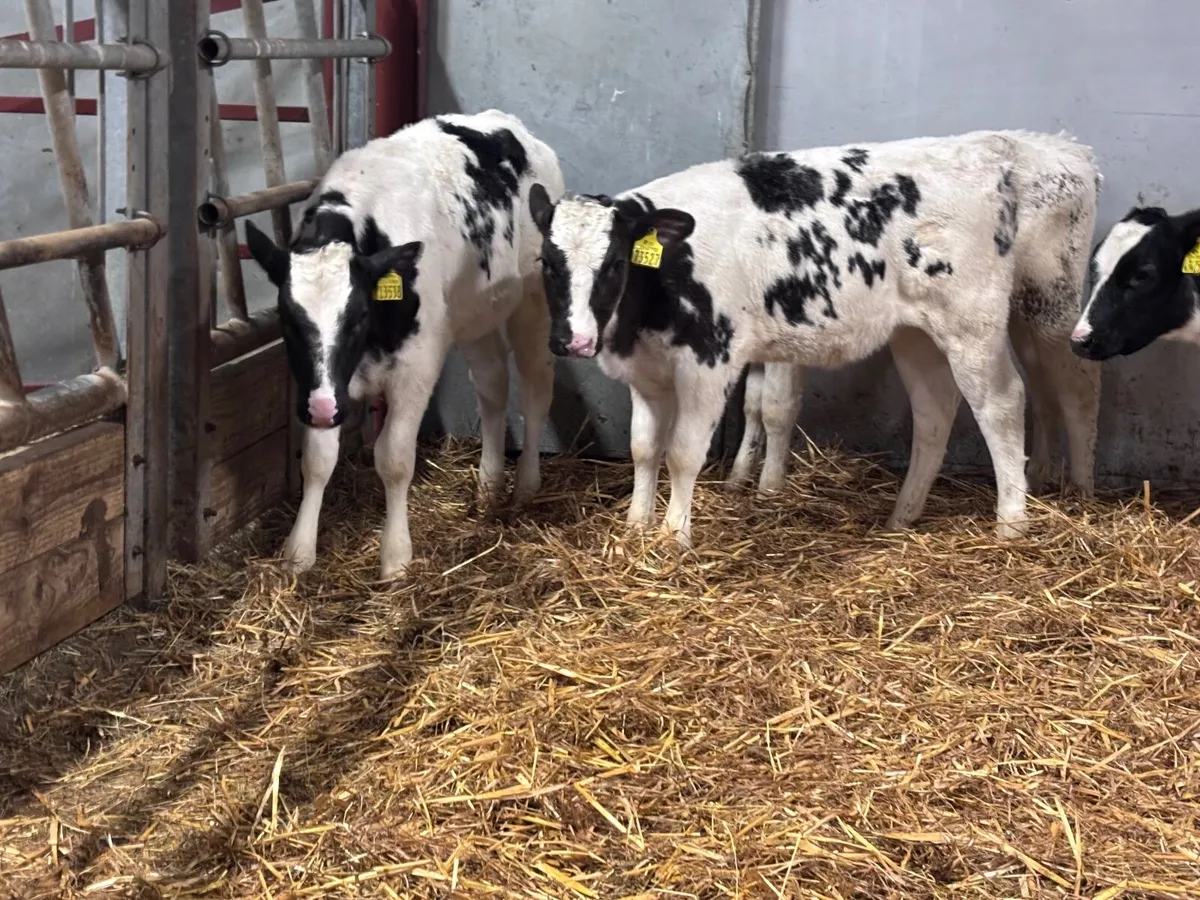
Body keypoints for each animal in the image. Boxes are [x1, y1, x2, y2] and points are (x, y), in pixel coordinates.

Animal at [245, 109, 564, 580]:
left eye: (358, 316)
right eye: (288, 318)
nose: (322, 409)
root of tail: (506, 122)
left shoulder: (417, 365)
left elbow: (394, 458)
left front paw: (395, 558)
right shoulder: (322, 383)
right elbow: (318, 458)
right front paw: (299, 552)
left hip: (533, 301)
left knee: (536, 389)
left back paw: (525, 486)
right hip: (474, 314)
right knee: (492, 386)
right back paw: (488, 485)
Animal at [528, 130, 1100, 547]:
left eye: (615, 263)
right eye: (547, 263)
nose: (572, 341)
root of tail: (997, 147)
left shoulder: (709, 363)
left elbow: (684, 453)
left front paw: (673, 538)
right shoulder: (645, 373)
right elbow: (644, 449)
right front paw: (635, 526)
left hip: (994, 319)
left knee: (1014, 402)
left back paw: (1019, 520)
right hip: (917, 333)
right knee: (936, 411)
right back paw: (903, 516)